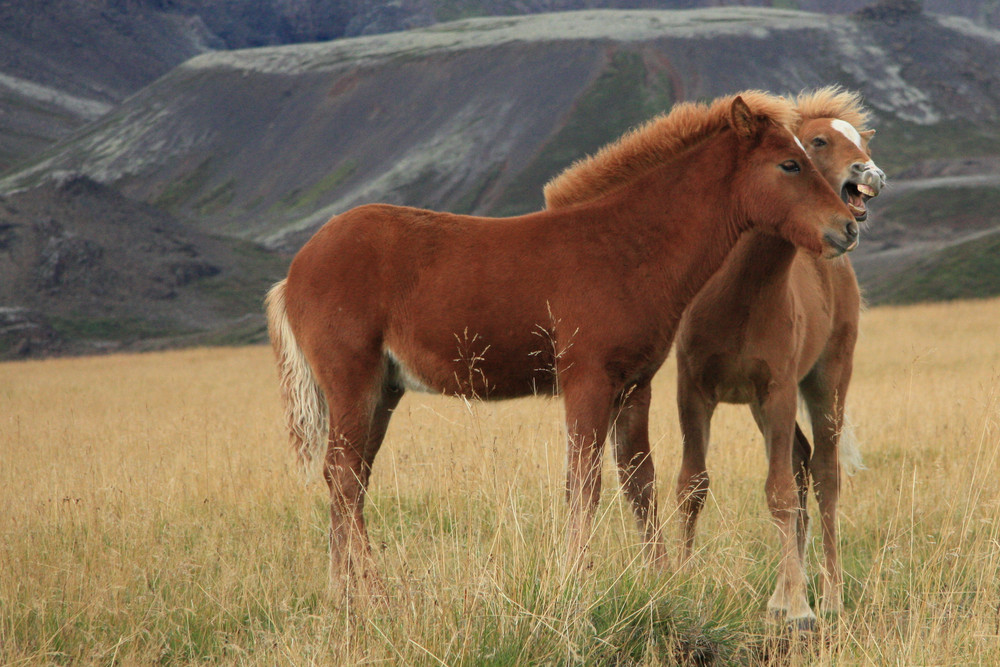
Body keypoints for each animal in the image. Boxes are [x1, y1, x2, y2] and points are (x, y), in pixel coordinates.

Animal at [268, 91, 860, 592]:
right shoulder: (587, 381)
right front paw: (576, 578)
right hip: (352, 381)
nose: (848, 226)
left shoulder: (633, 387)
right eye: (789, 164)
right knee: (343, 476)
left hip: (383, 391)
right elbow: (584, 484)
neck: (625, 248)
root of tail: (296, 270)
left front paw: (661, 581)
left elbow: (638, 481)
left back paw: (344, 591)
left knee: (350, 480)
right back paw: (372, 591)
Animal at [672, 90, 884, 632]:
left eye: (862, 139)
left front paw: (800, 609)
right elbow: (692, 484)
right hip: (759, 407)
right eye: (817, 141)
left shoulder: (780, 390)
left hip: (825, 384)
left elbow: (780, 493)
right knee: (803, 465)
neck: (736, 294)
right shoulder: (694, 391)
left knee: (824, 476)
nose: (871, 174)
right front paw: (678, 584)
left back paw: (824, 599)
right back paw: (783, 597)